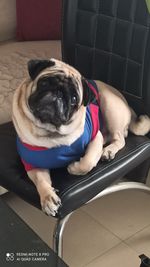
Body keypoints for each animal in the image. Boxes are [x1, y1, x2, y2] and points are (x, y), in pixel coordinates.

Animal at [12, 58, 150, 216]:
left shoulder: (95, 137)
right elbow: (41, 182)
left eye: (73, 99)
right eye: (45, 83)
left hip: (110, 107)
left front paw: (73, 167)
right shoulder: (33, 164)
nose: (58, 94)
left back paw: (108, 151)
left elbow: (87, 162)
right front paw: (48, 198)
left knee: (120, 138)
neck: (51, 134)